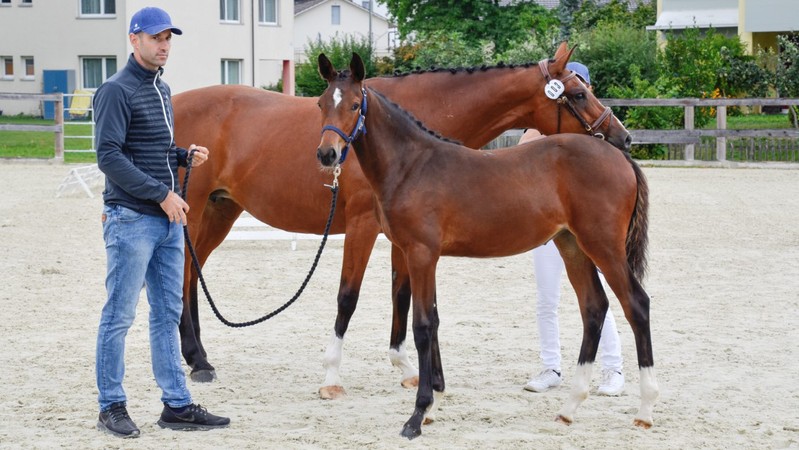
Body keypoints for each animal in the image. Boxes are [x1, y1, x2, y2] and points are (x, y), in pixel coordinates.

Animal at [172, 42, 633, 397]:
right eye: (577, 94)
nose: (622, 138)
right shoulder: (364, 226)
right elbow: (349, 298)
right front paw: (334, 376)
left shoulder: (408, 237)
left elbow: (404, 295)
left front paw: (413, 370)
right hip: (191, 210)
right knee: (181, 275)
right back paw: (196, 360)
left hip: (220, 210)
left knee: (190, 274)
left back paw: (199, 359)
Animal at [316, 52, 658, 439]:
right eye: (321, 104)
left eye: (354, 104)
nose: (327, 154)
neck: (412, 164)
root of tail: (620, 157)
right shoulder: (413, 253)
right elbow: (433, 320)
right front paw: (433, 404)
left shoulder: (421, 254)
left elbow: (422, 326)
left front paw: (416, 416)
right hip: (572, 246)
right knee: (594, 308)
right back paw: (569, 407)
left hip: (604, 247)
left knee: (636, 305)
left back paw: (645, 409)